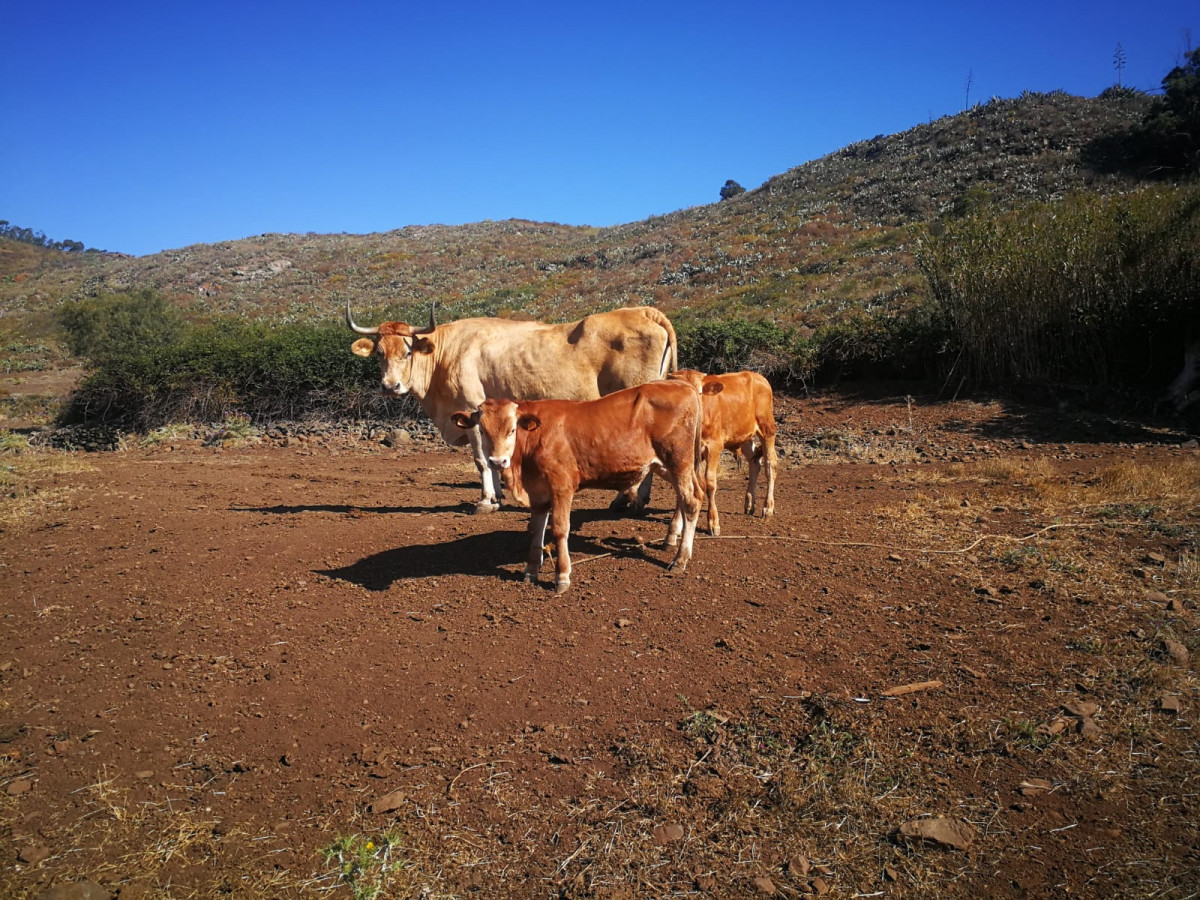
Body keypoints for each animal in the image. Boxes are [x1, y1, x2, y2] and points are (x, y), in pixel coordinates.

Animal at [453, 384, 705, 595]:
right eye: (482, 431)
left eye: (512, 430)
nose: (497, 461)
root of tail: (682, 385)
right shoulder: (538, 491)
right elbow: (536, 529)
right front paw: (531, 571)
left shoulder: (562, 486)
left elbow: (560, 529)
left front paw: (562, 576)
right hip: (665, 465)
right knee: (689, 496)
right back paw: (672, 539)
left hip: (678, 460)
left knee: (691, 501)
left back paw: (681, 558)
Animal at [667, 367, 777, 535]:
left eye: (700, 392)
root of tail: (757, 376)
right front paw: (678, 525)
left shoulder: (714, 446)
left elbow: (710, 483)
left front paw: (713, 522)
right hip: (743, 435)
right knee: (754, 462)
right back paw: (749, 504)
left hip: (767, 428)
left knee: (770, 465)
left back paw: (768, 507)